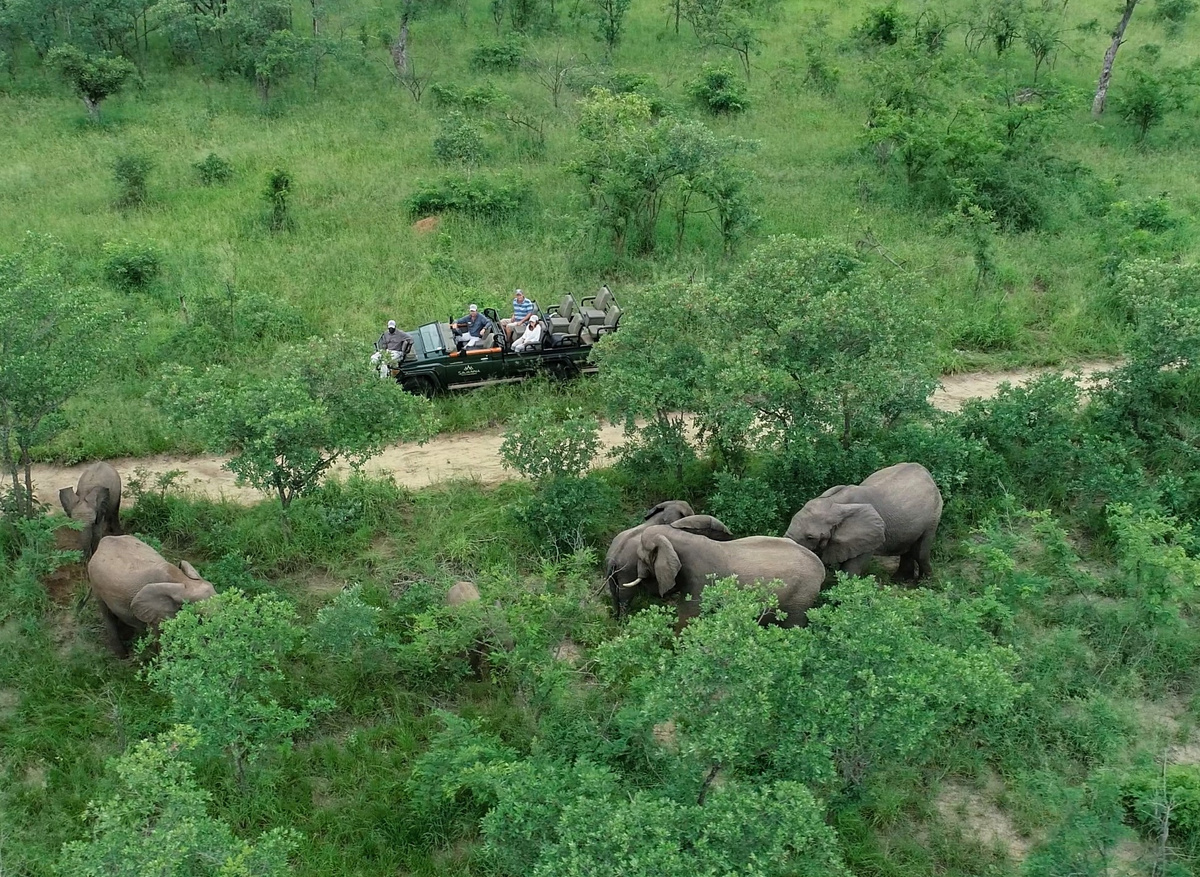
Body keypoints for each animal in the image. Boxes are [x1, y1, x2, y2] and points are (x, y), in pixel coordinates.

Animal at [87, 535, 217, 656]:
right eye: (200, 618)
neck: (184, 580)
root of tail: (103, 542)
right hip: (95, 584)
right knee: (107, 614)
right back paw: (123, 655)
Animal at [620, 515, 827, 628]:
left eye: (641, 557)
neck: (680, 537)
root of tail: (821, 568)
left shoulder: (701, 583)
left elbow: (687, 619)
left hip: (800, 598)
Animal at [785, 462, 943, 581]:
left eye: (810, 537)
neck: (833, 503)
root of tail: (924, 471)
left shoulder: (869, 536)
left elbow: (852, 568)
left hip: (933, 515)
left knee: (921, 551)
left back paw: (924, 583)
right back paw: (899, 580)